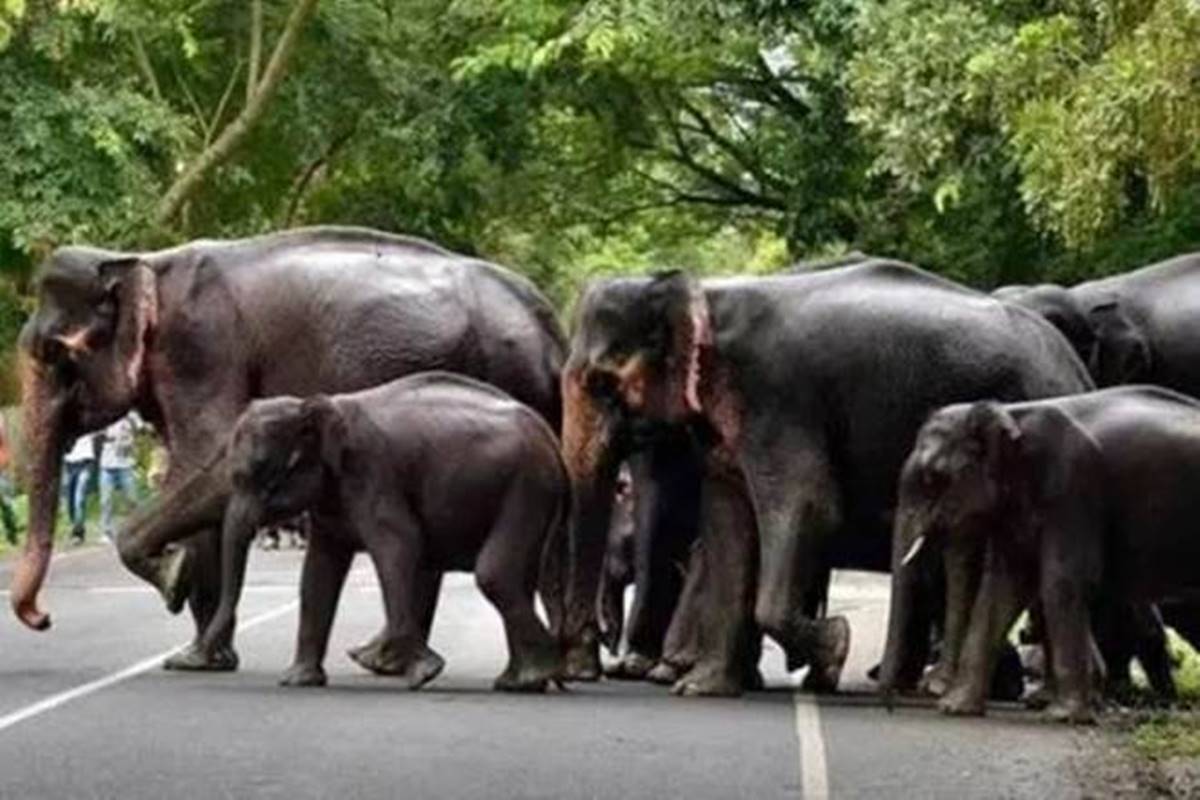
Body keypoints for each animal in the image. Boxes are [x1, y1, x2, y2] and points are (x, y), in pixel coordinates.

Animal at [199, 373, 568, 691]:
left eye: (261, 473)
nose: (203, 658)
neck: (318, 404)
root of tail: (550, 437)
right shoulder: (332, 496)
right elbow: (318, 569)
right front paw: (297, 681)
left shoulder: (373, 472)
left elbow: (400, 546)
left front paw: (425, 674)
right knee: (517, 579)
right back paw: (521, 681)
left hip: (527, 487)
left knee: (495, 575)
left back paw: (541, 672)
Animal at [558, 259, 1093, 696]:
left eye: (601, 383)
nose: (581, 671)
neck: (704, 290)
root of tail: (1076, 368)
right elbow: (728, 519)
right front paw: (702, 688)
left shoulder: (778, 399)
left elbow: (809, 506)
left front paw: (834, 648)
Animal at [883, 386, 1200, 723]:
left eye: (932, 477)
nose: (891, 704)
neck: (1011, 413)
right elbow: (1001, 587)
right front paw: (955, 708)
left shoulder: (1072, 490)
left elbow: (1061, 582)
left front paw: (1062, 716)